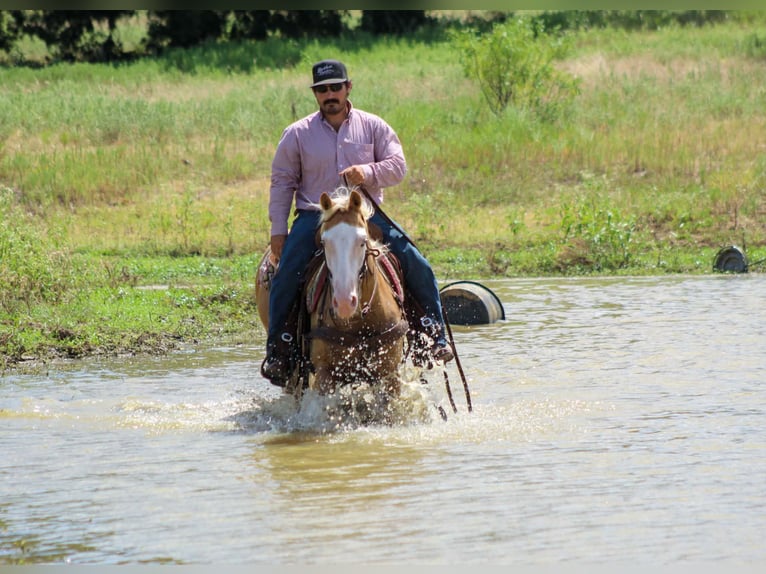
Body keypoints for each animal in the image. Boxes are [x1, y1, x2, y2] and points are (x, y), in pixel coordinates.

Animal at [255, 187, 409, 398]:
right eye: (324, 242)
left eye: (362, 241)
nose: (344, 303)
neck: (360, 321)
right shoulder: (325, 375)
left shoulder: (390, 374)